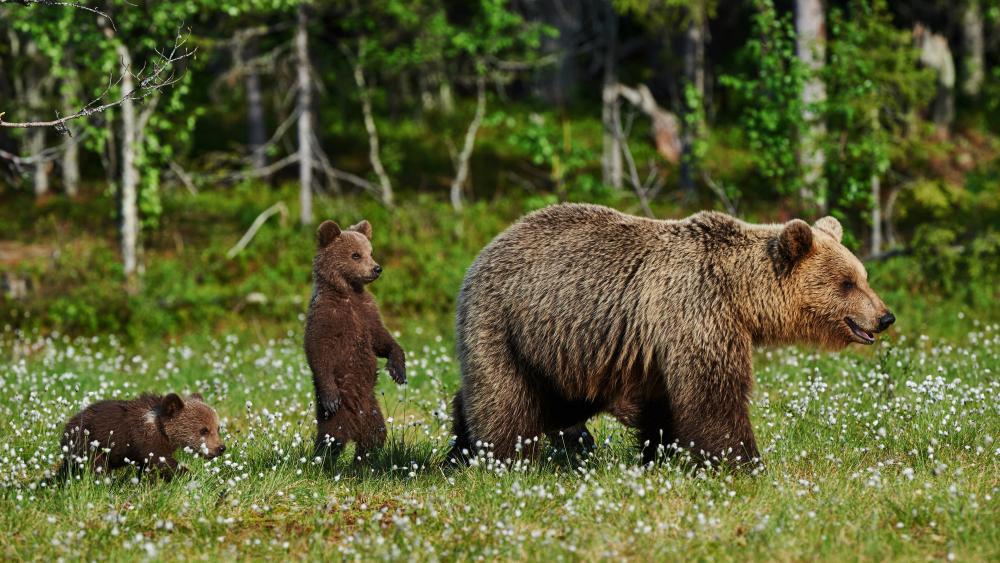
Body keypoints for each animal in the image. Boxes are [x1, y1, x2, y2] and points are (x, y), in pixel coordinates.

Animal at [58, 393, 224, 480]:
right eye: (203, 430)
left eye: (217, 427)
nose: (221, 448)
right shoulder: (145, 440)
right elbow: (162, 462)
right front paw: (191, 475)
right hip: (88, 444)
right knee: (95, 466)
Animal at [305, 219, 406, 462]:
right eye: (355, 255)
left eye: (370, 251)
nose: (377, 268)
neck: (348, 292)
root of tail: (355, 426)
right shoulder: (326, 316)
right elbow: (317, 349)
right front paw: (330, 396)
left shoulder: (366, 312)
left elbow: (381, 339)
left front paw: (398, 369)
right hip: (340, 412)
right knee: (331, 438)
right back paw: (322, 462)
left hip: (372, 409)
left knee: (375, 436)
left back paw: (361, 462)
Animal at [449, 203, 895, 466]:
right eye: (847, 283)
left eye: (863, 277)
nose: (885, 317)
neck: (740, 295)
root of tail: (486, 249)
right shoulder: (697, 310)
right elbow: (714, 394)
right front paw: (745, 463)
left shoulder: (658, 341)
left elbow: (663, 403)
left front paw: (661, 454)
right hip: (507, 323)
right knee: (506, 399)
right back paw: (499, 458)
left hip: (562, 352)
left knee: (554, 402)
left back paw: (459, 446)